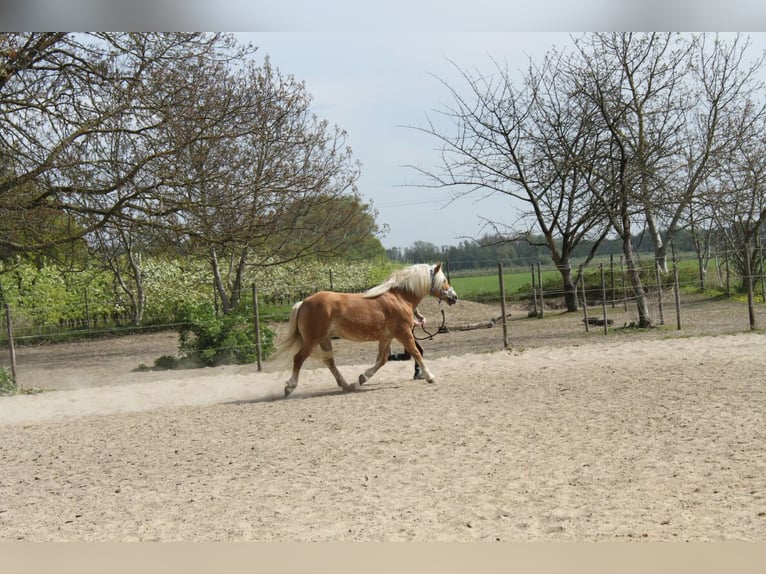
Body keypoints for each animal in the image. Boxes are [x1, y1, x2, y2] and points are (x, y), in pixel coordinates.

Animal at [272, 264, 460, 398]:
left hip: (324, 339)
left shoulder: (387, 337)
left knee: (330, 362)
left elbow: (382, 360)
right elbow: (416, 353)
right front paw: (430, 376)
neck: (399, 298)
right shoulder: (404, 333)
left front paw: (361, 379)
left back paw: (347, 385)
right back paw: (289, 387)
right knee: (298, 358)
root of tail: (303, 302)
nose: (455, 297)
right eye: (444, 280)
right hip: (312, 340)